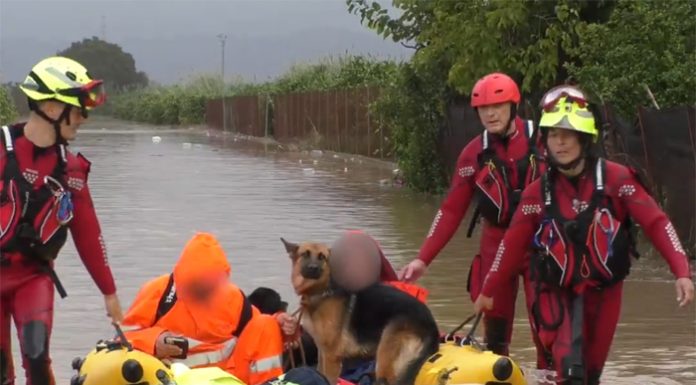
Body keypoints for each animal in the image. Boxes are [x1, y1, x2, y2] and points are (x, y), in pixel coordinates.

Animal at [280, 237, 438, 384]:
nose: (313, 268)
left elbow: (328, 378)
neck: (322, 290)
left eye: (322, 257)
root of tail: (431, 324)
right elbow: (319, 372)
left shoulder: (332, 356)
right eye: (305, 254)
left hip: (385, 359)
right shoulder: (322, 351)